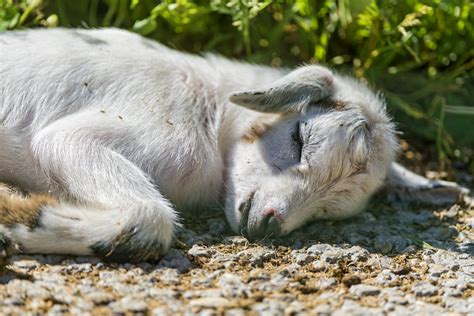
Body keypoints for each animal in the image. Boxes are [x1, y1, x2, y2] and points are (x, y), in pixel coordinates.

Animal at [0, 28, 468, 262]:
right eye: (298, 138)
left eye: (329, 210)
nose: (268, 224)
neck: (212, 108)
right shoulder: (78, 137)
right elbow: (151, 219)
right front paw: (15, 220)